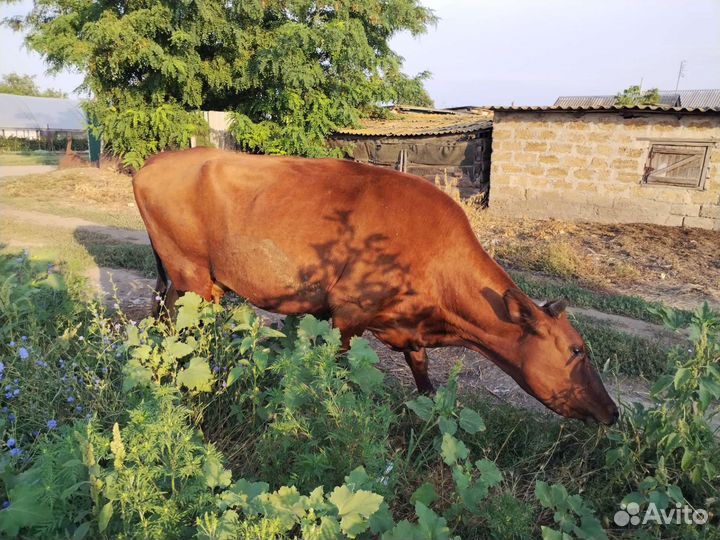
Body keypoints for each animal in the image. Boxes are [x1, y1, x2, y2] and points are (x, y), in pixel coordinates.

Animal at [133, 147, 619, 425]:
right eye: (577, 349)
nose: (613, 412)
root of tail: (151, 163)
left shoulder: (408, 328)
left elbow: (425, 381)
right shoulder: (347, 313)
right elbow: (335, 374)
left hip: (189, 280)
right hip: (192, 275)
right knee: (186, 331)